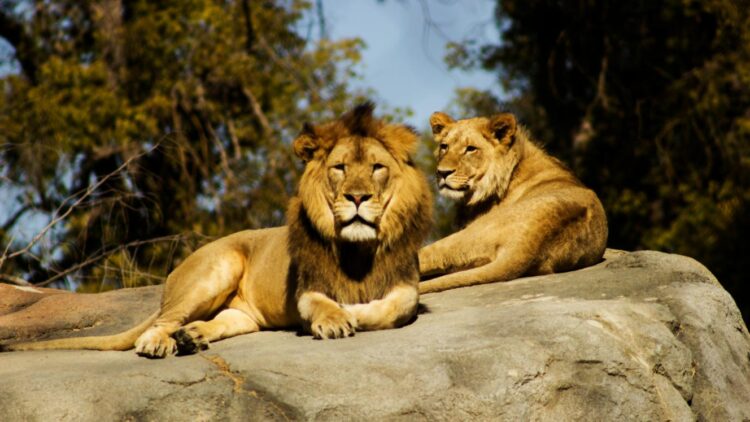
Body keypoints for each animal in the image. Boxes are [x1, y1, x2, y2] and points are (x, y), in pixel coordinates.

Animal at [1, 103, 432, 358]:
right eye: (340, 168)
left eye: (377, 168)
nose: (357, 197)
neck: (359, 249)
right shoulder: (307, 287)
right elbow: (321, 303)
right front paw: (337, 317)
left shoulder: (405, 284)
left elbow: (395, 307)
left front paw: (355, 311)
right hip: (215, 270)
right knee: (158, 324)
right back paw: (160, 342)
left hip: (242, 314)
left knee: (219, 321)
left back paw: (191, 337)